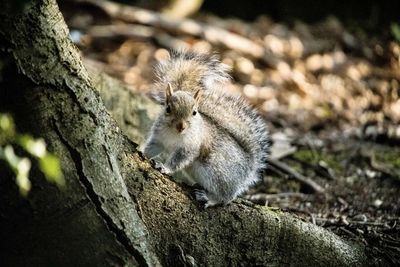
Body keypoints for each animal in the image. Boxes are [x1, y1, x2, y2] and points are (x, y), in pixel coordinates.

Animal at [144, 50, 268, 209]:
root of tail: (248, 168)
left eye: (194, 112)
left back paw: (209, 198)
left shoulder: (191, 146)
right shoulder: (159, 138)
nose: (181, 126)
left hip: (217, 173)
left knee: (225, 197)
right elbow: (153, 148)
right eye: (168, 109)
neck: (174, 133)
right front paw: (143, 153)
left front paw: (165, 168)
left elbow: (179, 160)